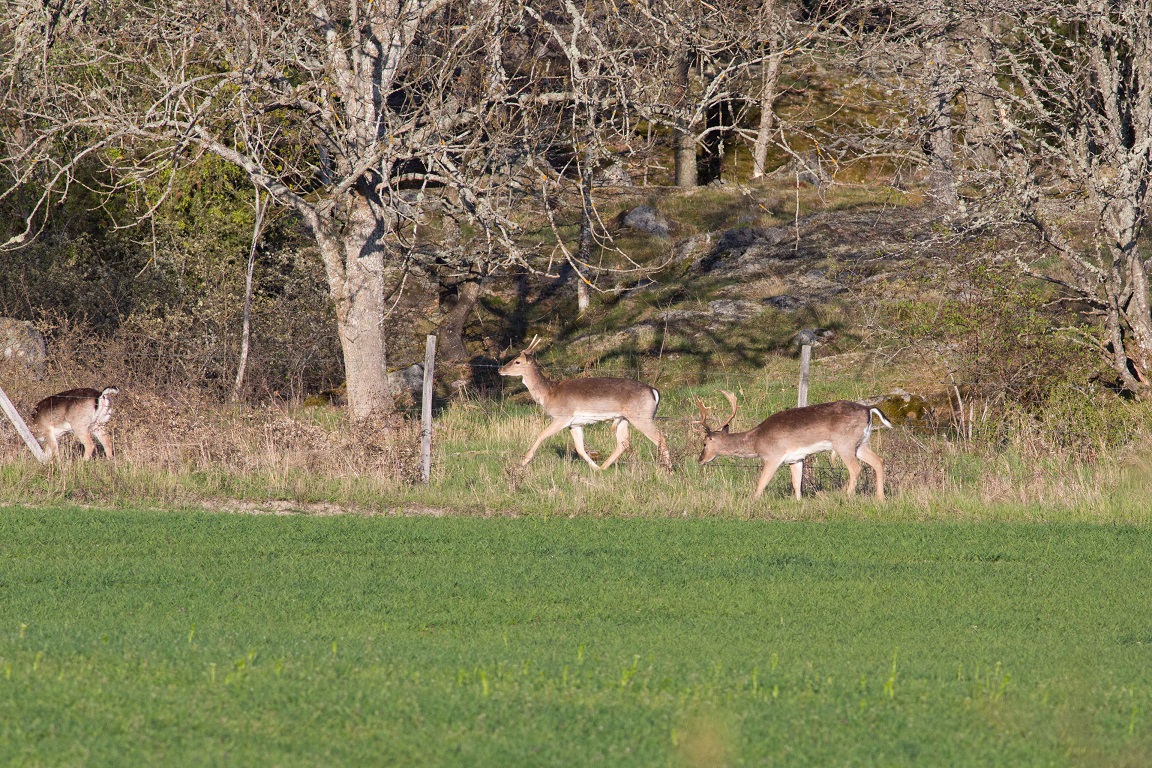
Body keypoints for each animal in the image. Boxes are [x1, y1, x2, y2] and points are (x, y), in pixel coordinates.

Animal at [497, 333, 672, 469]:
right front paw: (594, 467)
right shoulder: (575, 423)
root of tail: (654, 391)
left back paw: (669, 470)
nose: (500, 369)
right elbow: (580, 448)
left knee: (660, 438)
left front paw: (524, 462)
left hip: (642, 416)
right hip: (624, 418)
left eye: (517, 361)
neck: (549, 394)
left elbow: (541, 435)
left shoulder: (562, 416)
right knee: (623, 442)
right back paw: (603, 467)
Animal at [691, 391, 889, 504]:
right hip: (861, 443)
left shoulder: (773, 455)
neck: (756, 440)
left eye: (704, 443)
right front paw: (799, 503)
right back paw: (880, 499)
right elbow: (796, 483)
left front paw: (752, 502)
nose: (700, 460)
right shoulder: (796, 458)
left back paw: (846, 497)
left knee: (855, 468)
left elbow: (762, 483)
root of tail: (868, 409)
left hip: (844, 443)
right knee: (878, 461)